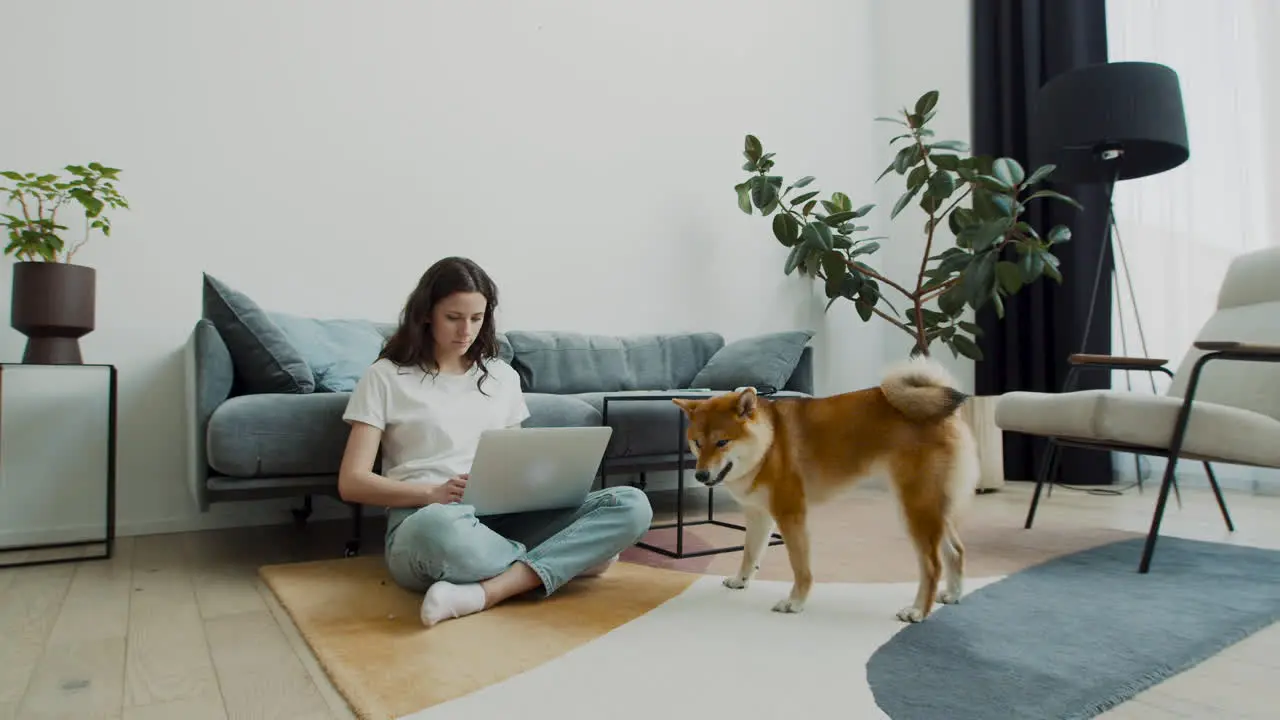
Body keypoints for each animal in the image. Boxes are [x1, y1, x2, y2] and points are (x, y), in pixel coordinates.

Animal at [670, 356, 977, 620]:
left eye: (722, 443)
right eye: (697, 443)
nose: (700, 474)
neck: (769, 445)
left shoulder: (791, 514)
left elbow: (800, 565)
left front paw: (795, 602)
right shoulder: (759, 514)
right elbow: (750, 553)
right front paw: (740, 581)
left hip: (914, 507)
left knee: (933, 565)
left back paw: (917, 611)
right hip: (932, 507)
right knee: (956, 551)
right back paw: (952, 594)